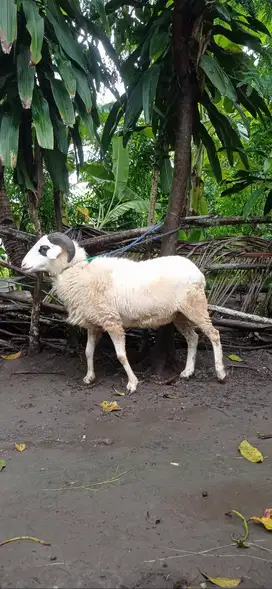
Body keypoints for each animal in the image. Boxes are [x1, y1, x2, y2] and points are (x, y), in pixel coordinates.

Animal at [20, 231, 225, 390]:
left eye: (43, 248)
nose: (22, 265)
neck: (78, 273)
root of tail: (198, 272)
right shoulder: (94, 324)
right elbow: (88, 351)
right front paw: (89, 377)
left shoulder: (112, 321)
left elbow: (121, 355)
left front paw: (132, 383)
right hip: (179, 314)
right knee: (193, 338)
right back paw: (187, 372)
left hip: (195, 306)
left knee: (214, 334)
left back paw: (220, 373)